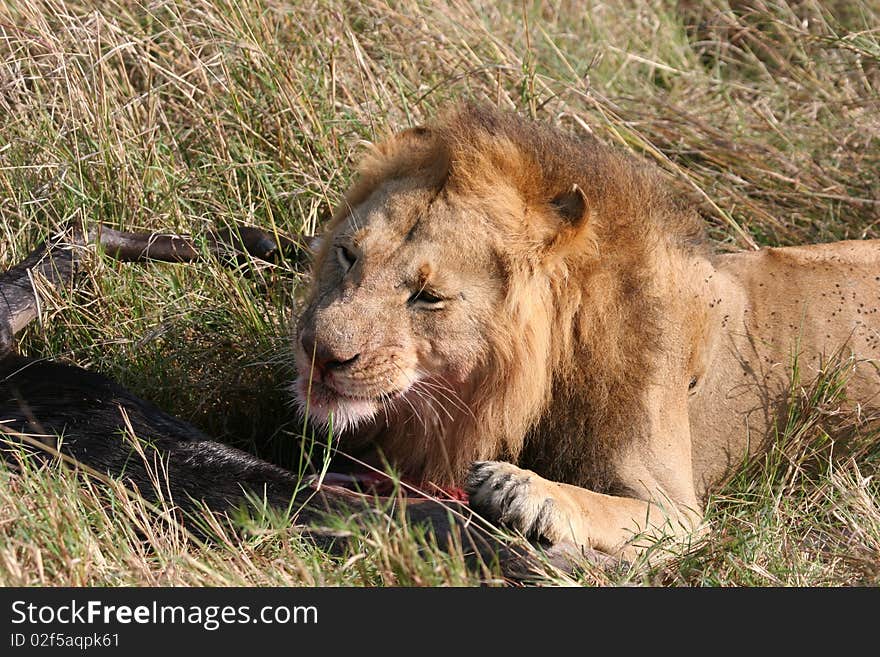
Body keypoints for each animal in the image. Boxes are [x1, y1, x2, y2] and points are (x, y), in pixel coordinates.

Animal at [294, 102, 880, 560]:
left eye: (428, 296)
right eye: (348, 256)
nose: (318, 352)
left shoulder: (678, 514)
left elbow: (601, 502)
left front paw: (524, 488)